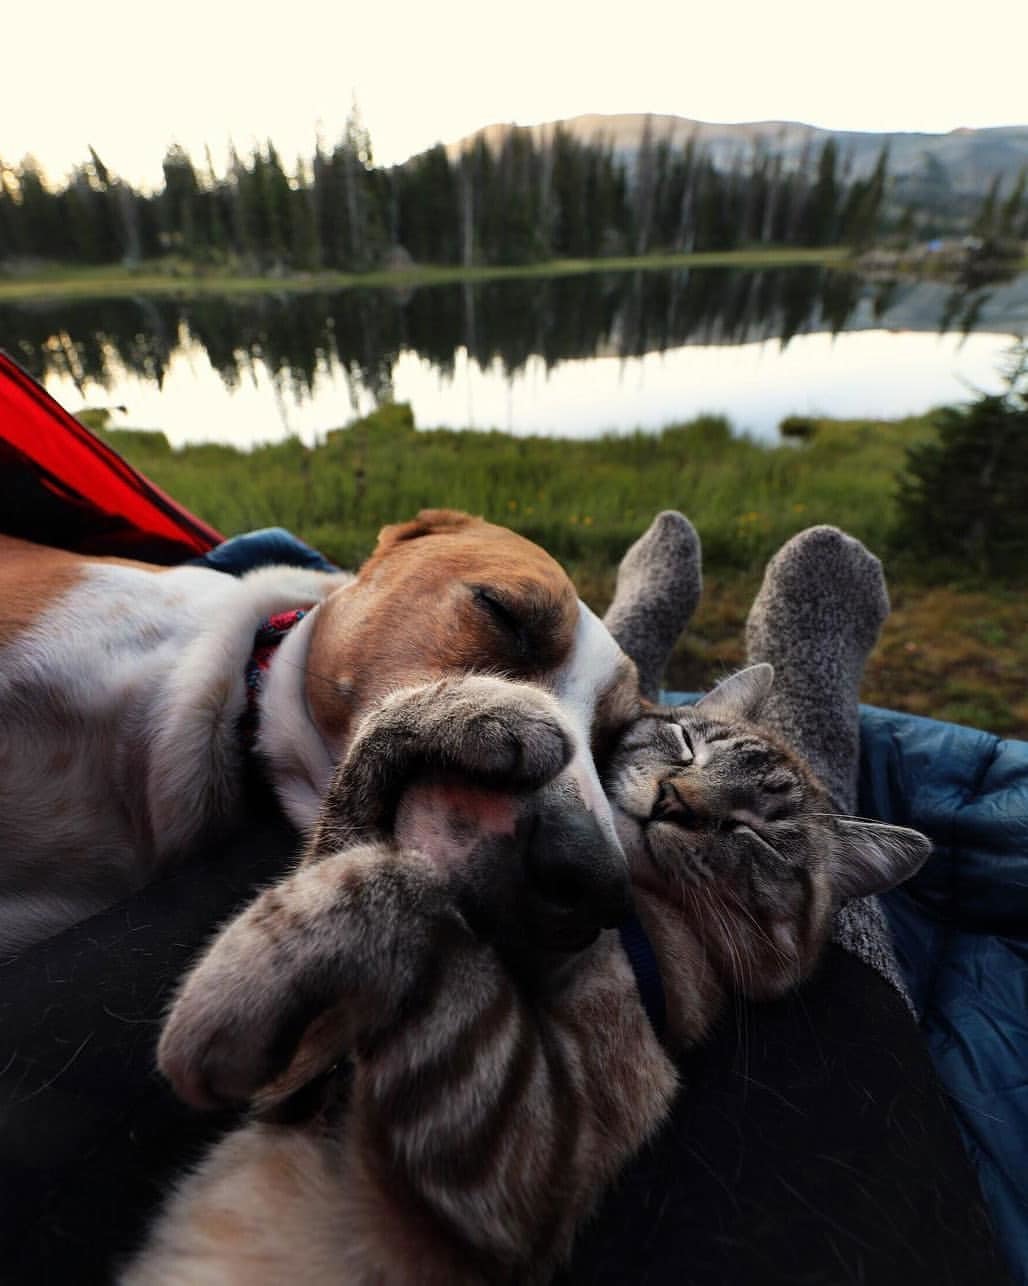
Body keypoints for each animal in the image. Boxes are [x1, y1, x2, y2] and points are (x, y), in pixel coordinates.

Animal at [124, 668, 926, 1280]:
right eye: (687, 745)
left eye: (758, 836)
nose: (675, 801)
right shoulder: (303, 1078)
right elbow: (357, 802)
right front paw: (490, 706)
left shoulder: (514, 1159)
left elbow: (404, 889)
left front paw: (211, 1020)